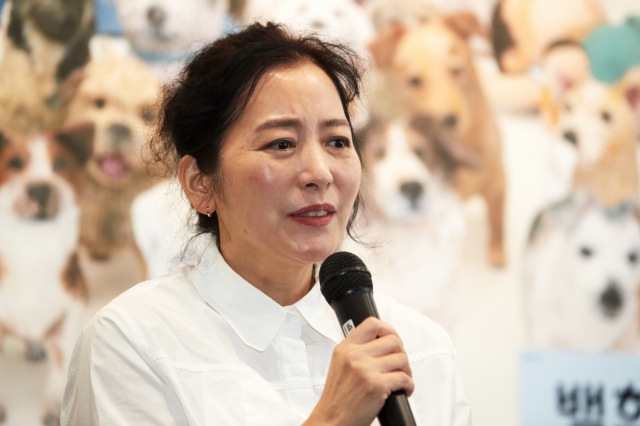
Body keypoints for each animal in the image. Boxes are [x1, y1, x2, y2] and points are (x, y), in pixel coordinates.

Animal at [0, 122, 94, 422]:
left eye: (60, 164)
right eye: (14, 163)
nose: (40, 189)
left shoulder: (67, 322)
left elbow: (60, 377)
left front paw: (54, 412)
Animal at [368, 18, 508, 268]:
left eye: (456, 71)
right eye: (414, 81)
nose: (447, 119)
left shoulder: (498, 185)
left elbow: (497, 221)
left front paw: (497, 249)